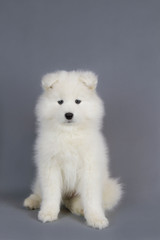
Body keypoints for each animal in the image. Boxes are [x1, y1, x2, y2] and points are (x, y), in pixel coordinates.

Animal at [23, 71, 122, 229]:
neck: (69, 133)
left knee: (74, 202)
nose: (69, 115)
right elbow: (51, 194)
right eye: (60, 102)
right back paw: (32, 201)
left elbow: (91, 198)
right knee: (40, 192)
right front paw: (48, 213)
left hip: (110, 189)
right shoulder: (50, 167)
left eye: (77, 101)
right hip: (40, 178)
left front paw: (96, 218)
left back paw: (79, 208)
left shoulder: (89, 168)